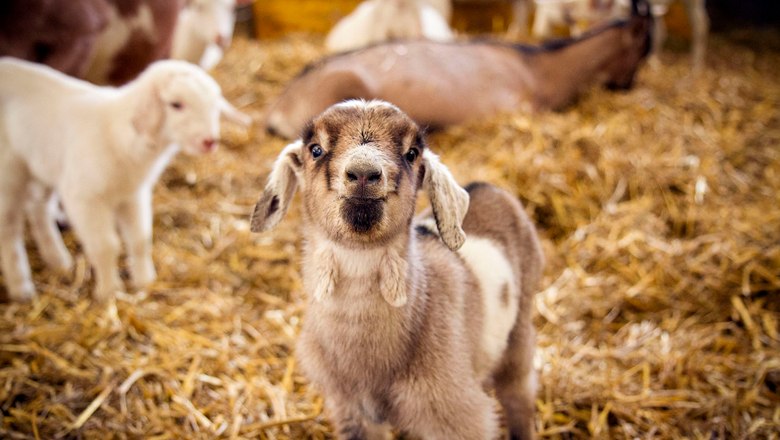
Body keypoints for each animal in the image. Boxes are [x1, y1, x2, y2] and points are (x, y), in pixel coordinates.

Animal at [0, 57, 249, 302]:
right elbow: (105, 245)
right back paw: (21, 287)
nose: (210, 141)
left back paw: (57, 260)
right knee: (9, 228)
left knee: (38, 207)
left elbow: (140, 239)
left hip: (41, 163)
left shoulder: (133, 194)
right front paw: (110, 291)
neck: (119, 137)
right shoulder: (84, 199)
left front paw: (145, 281)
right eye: (176, 104)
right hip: (9, 173)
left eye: (215, 105)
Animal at [250, 100, 544, 439]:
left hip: (520, 328)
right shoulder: (350, 409)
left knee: (519, 392)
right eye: (315, 149)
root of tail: (486, 186)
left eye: (412, 153)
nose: (364, 173)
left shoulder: (456, 414)